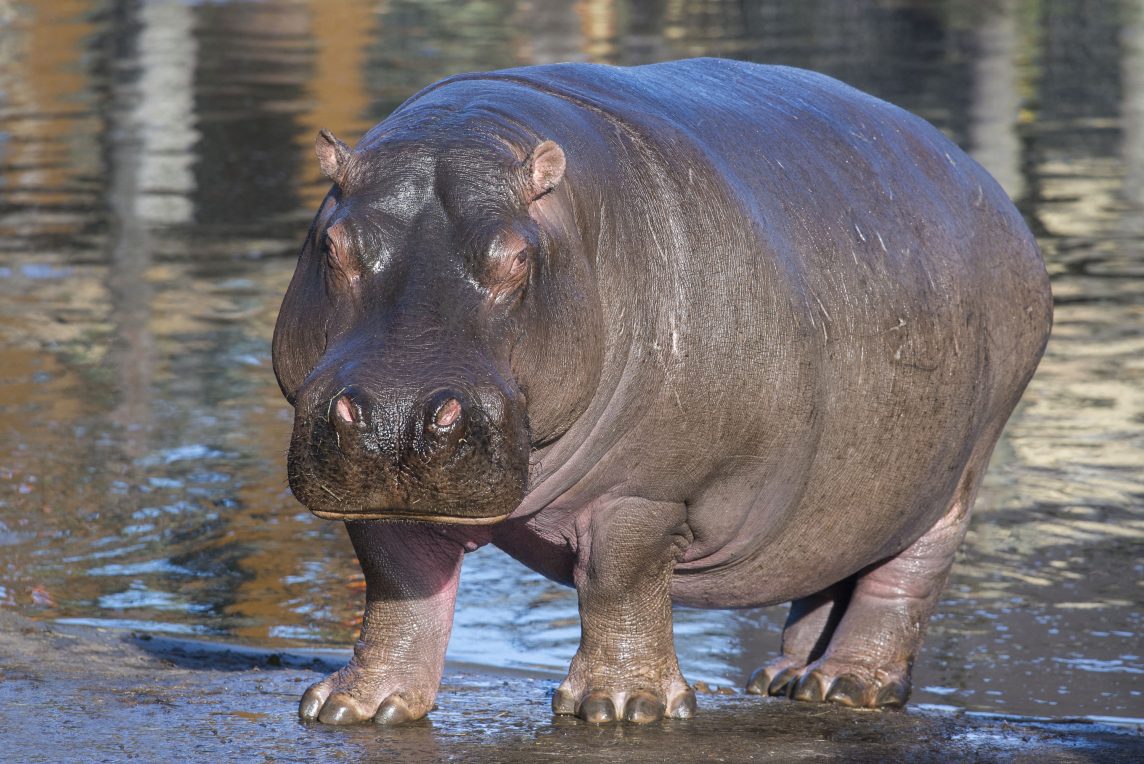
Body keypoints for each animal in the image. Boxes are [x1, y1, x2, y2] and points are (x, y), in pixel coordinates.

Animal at [272, 56, 1047, 727]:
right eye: (332, 244)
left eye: (517, 257)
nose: (396, 415)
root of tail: (990, 190)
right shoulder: (378, 498)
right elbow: (397, 585)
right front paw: (353, 707)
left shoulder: (644, 489)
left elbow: (619, 583)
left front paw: (623, 707)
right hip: (854, 488)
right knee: (832, 568)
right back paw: (784, 681)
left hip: (958, 477)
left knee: (903, 579)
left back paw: (848, 687)